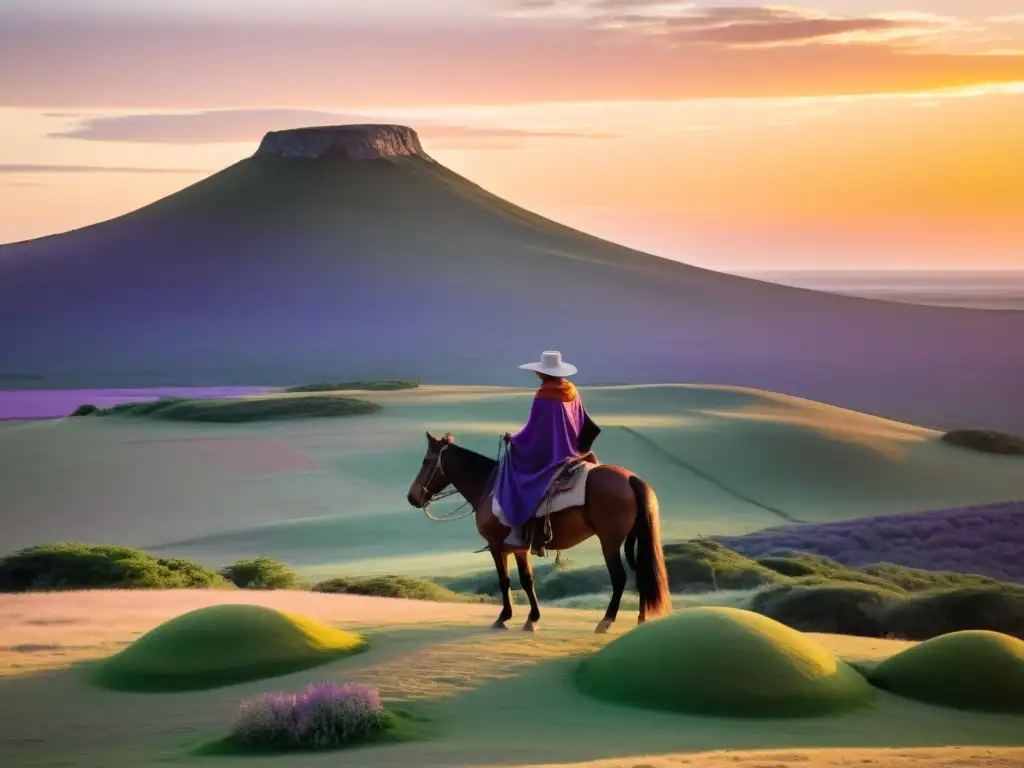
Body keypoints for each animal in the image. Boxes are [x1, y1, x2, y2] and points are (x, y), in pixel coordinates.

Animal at [407, 434, 671, 638]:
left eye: (426, 461)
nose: (412, 497)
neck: (490, 489)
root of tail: (631, 478)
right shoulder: (519, 548)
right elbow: (527, 580)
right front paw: (531, 619)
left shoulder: (496, 545)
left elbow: (506, 580)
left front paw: (505, 617)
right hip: (631, 539)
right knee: (641, 572)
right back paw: (641, 619)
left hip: (609, 542)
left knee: (619, 578)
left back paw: (605, 622)